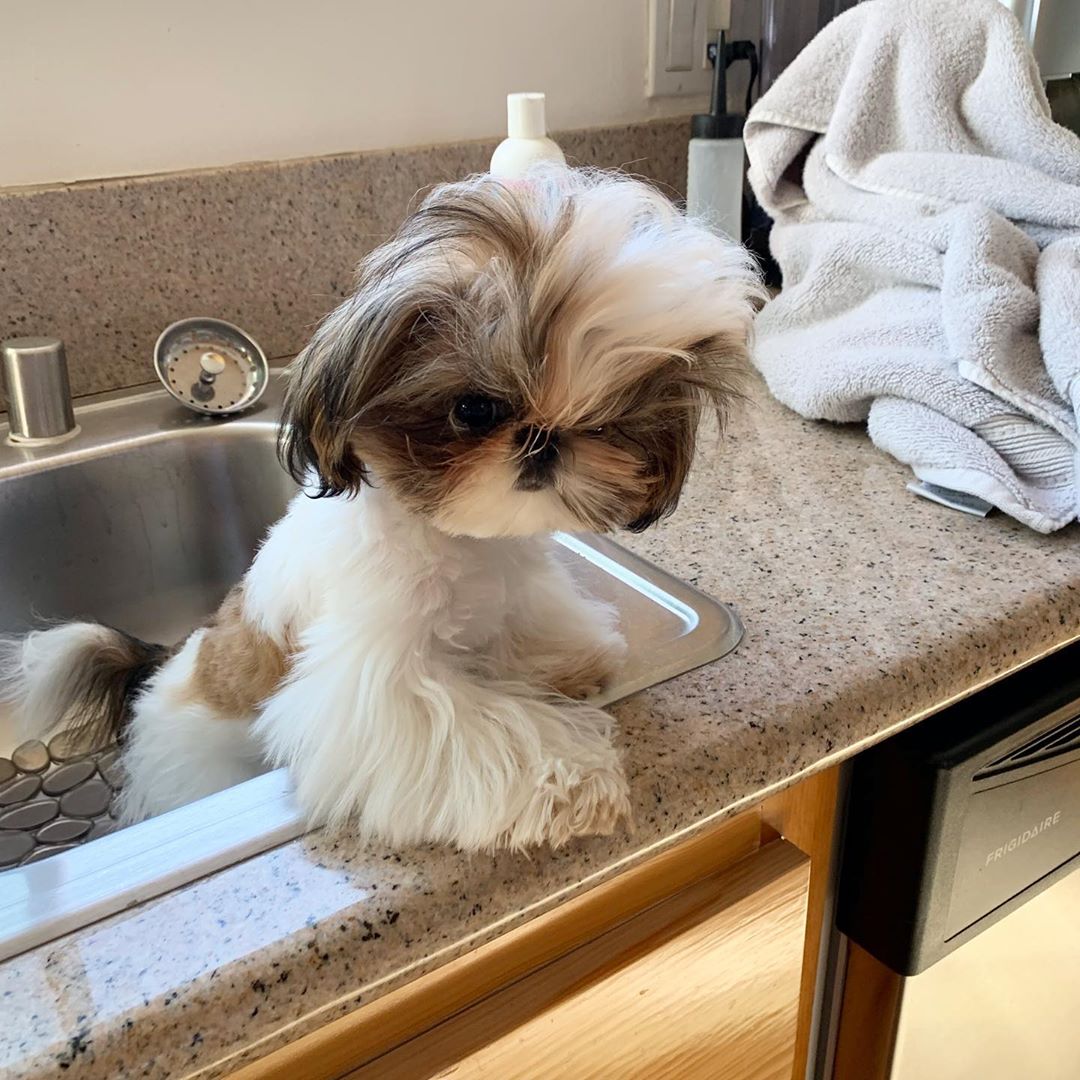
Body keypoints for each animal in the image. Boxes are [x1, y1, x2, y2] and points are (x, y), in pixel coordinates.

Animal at [2, 166, 760, 851]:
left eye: (602, 421)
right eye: (474, 409)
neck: (456, 544)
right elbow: (471, 729)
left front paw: (567, 660)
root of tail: (167, 668)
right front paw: (575, 781)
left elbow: (526, 625)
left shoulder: (514, 593)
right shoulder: (379, 690)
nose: (545, 440)